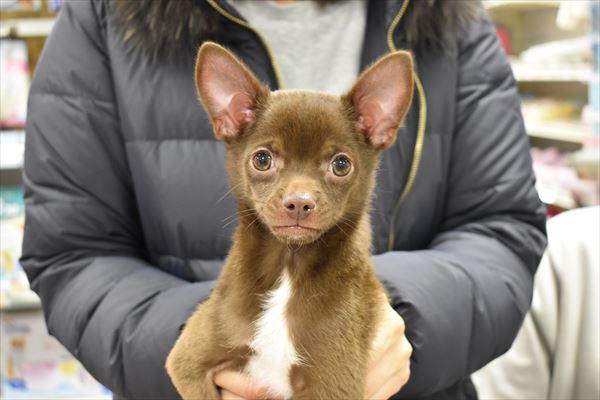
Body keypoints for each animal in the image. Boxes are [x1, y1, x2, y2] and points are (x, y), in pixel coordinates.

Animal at [166, 42, 413, 399]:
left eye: (341, 165)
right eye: (262, 159)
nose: (299, 202)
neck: (288, 265)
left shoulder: (333, 387)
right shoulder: (187, 360)